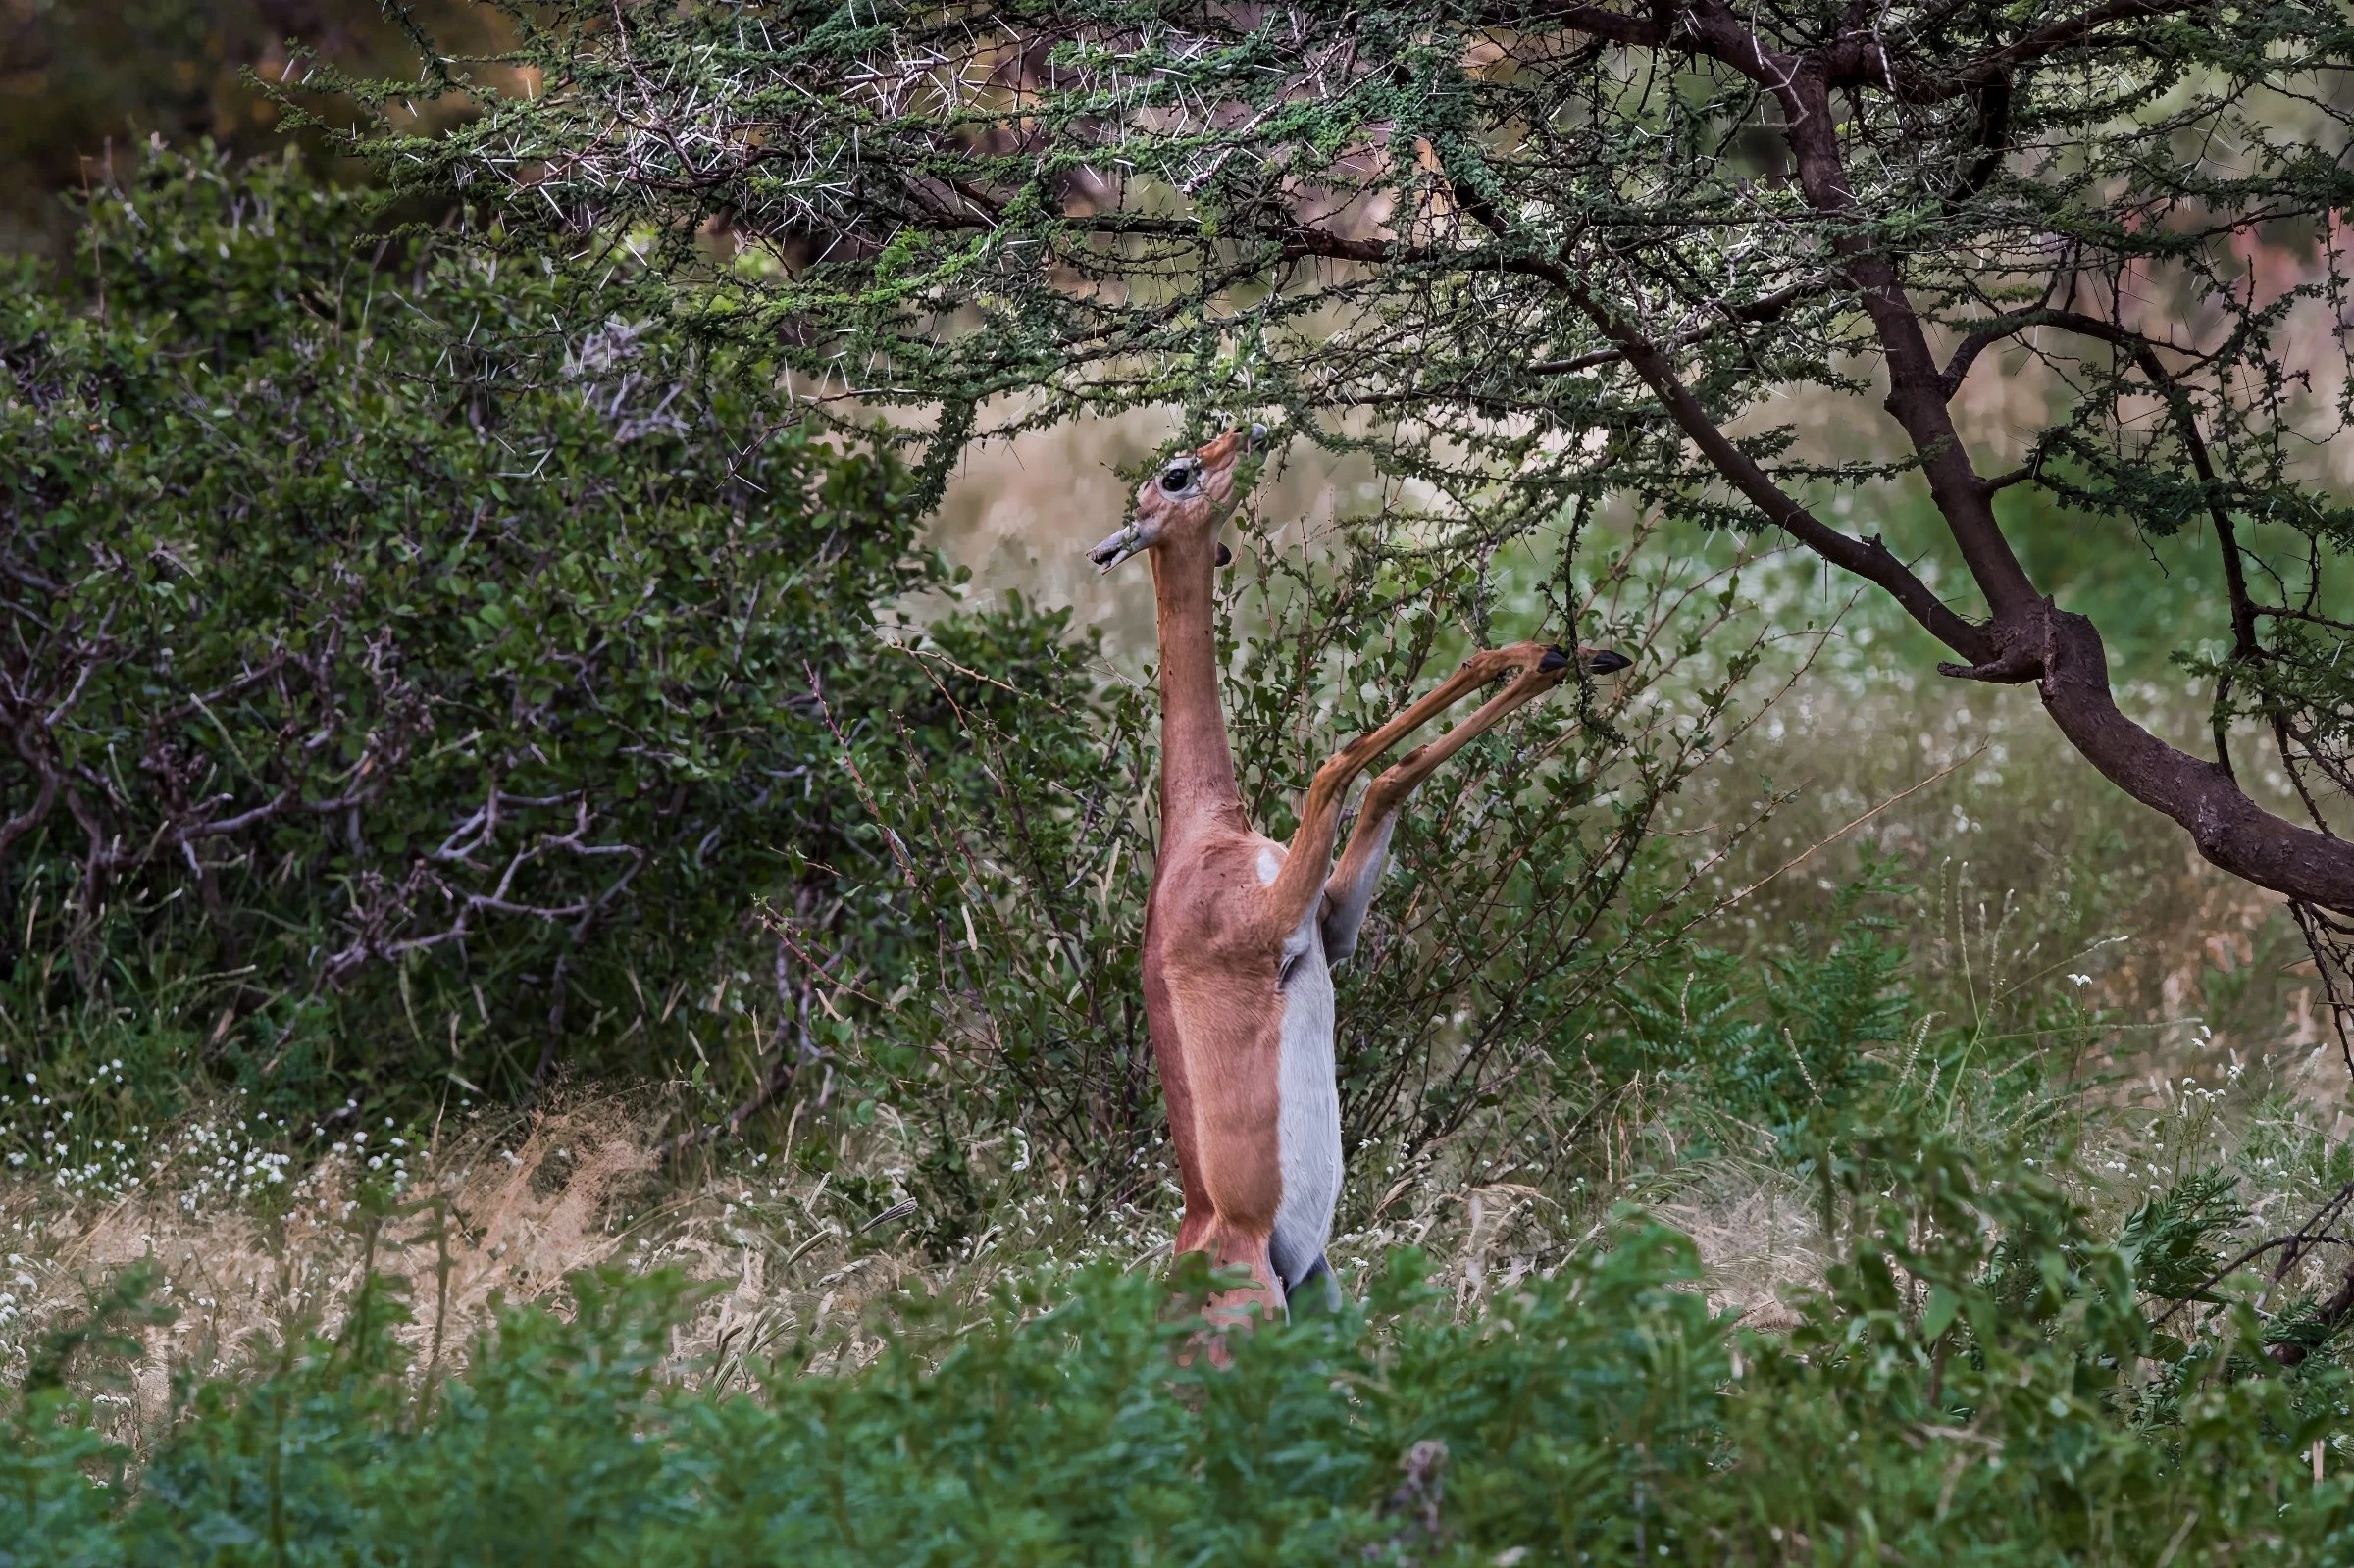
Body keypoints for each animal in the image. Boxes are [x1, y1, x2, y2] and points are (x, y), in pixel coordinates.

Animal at [1087, 426, 1631, 1320]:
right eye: (1177, 474)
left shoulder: (1329, 929)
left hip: (1322, 1291)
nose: (1246, 431)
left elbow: (1387, 778)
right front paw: (1534, 651)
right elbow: (1338, 765)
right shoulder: (1275, 928)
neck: (1202, 839)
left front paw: (1565, 651)